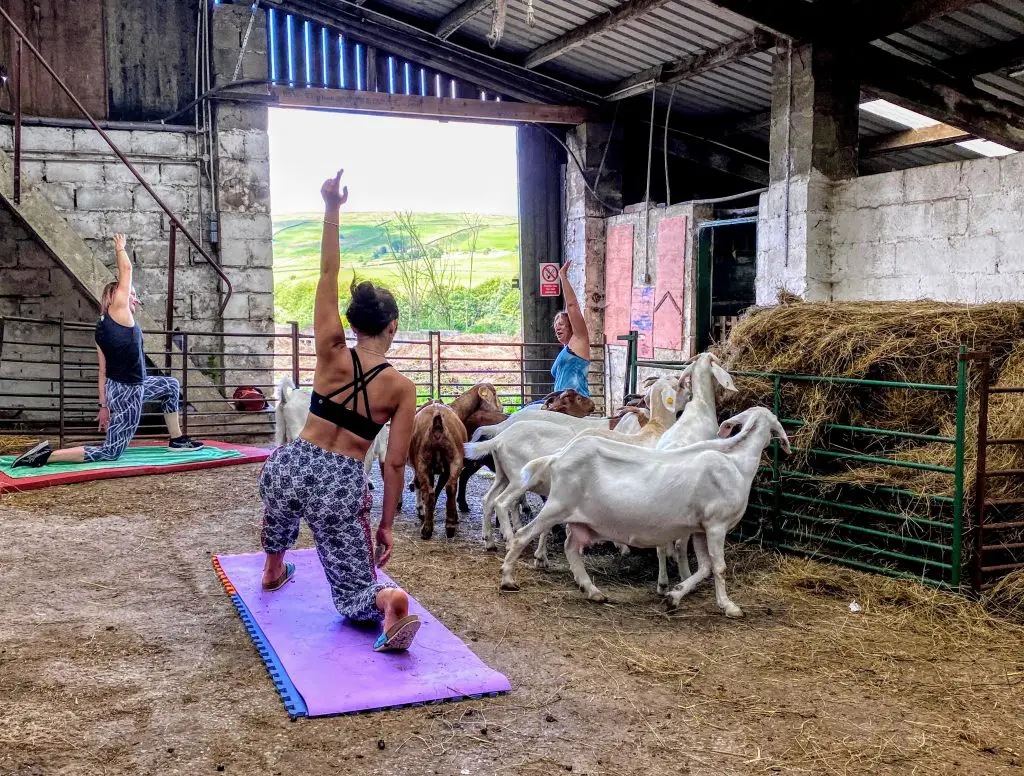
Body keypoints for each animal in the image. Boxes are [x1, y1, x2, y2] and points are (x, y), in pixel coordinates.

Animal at [409, 401, 468, 540]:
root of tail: (437, 425)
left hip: (423, 462)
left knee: (429, 492)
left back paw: (427, 529)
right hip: (455, 459)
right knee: (450, 488)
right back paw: (449, 526)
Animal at [499, 407, 786, 618]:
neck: (737, 463)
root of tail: (557, 458)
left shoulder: (700, 528)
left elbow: (704, 567)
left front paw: (674, 596)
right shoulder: (716, 525)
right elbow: (719, 567)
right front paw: (729, 606)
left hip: (577, 516)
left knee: (571, 547)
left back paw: (591, 590)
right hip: (558, 505)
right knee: (524, 535)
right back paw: (507, 578)